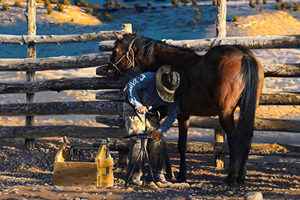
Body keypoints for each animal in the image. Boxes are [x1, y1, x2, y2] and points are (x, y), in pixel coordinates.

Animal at [109, 33, 262, 186]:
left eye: (115, 50)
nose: (109, 70)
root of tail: (244, 55)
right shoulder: (181, 115)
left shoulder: (181, 115)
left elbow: (181, 145)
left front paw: (181, 175)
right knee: (247, 138)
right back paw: (241, 176)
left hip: (225, 114)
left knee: (235, 140)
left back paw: (231, 177)